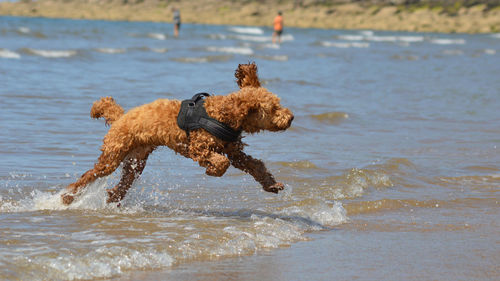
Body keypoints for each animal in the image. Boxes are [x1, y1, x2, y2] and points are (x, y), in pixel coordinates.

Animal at [62, 63, 294, 203]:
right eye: (274, 109)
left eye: (278, 104)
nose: (291, 117)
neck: (222, 114)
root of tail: (121, 117)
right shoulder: (198, 147)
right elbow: (221, 162)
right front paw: (212, 170)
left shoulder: (235, 152)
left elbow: (256, 166)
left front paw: (272, 184)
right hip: (112, 156)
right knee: (88, 175)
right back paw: (68, 196)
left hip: (135, 162)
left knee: (124, 182)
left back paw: (113, 197)